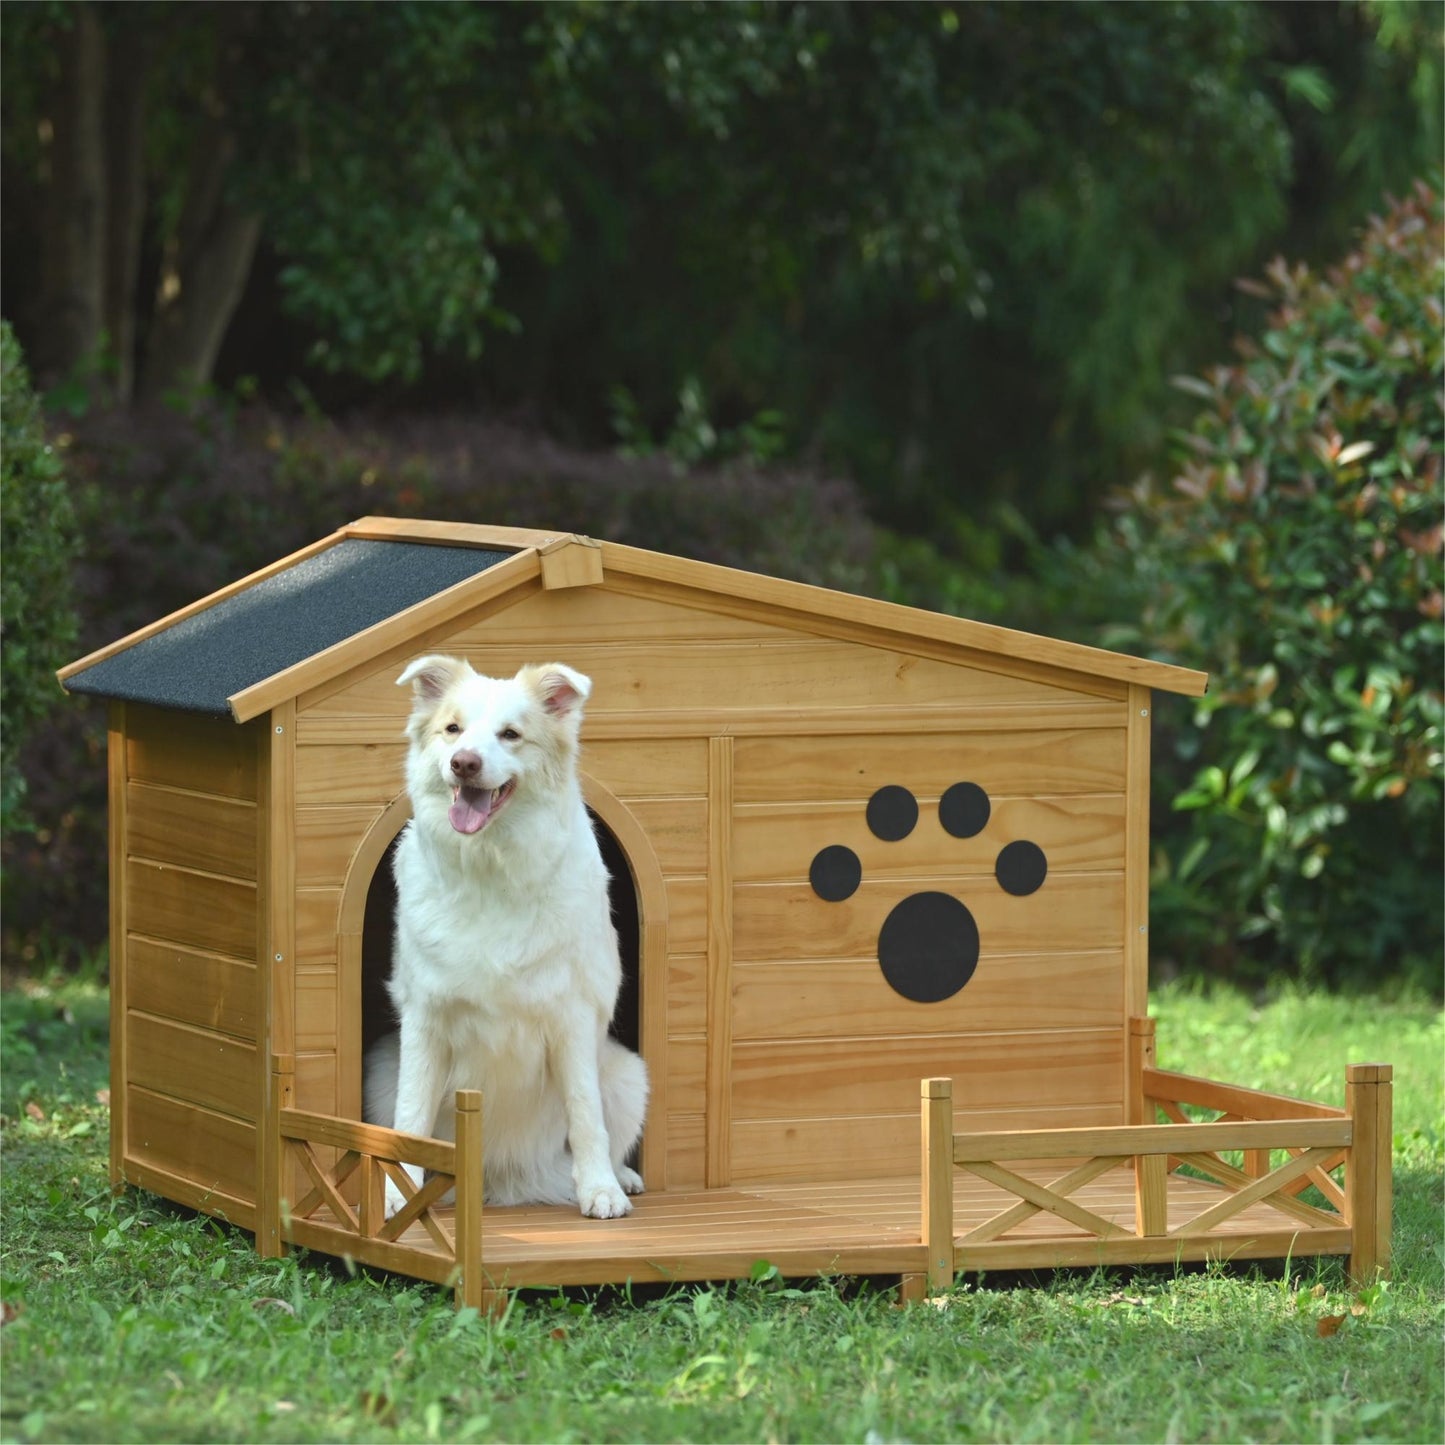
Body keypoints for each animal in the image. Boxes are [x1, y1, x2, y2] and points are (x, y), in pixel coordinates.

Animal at [364, 658, 647, 1219]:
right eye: (453, 729)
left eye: (510, 735)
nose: (464, 764)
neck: (490, 867)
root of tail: (504, 1176)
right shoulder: (424, 1023)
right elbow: (410, 1117)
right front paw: (399, 1195)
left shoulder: (572, 1018)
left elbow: (587, 1116)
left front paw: (599, 1190)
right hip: (383, 1068)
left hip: (628, 1075)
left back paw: (620, 1177)